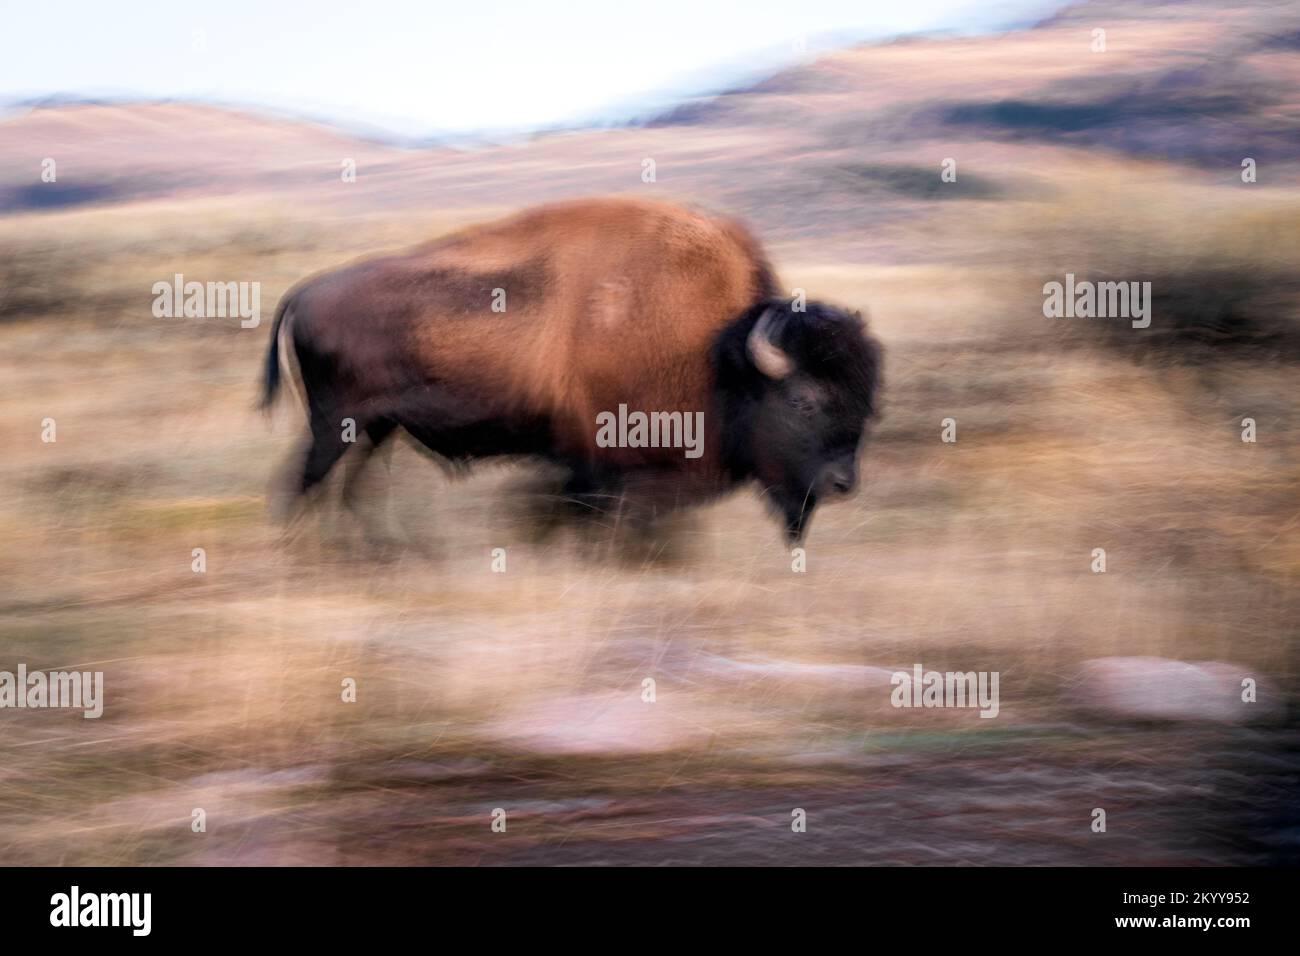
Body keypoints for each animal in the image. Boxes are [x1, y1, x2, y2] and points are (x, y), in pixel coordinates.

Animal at [262, 197, 881, 541]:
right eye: (803, 400)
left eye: (868, 405)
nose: (843, 483)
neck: (715, 346)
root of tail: (306, 292)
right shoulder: (602, 467)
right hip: (336, 425)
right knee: (305, 482)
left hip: (374, 428)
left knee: (348, 488)